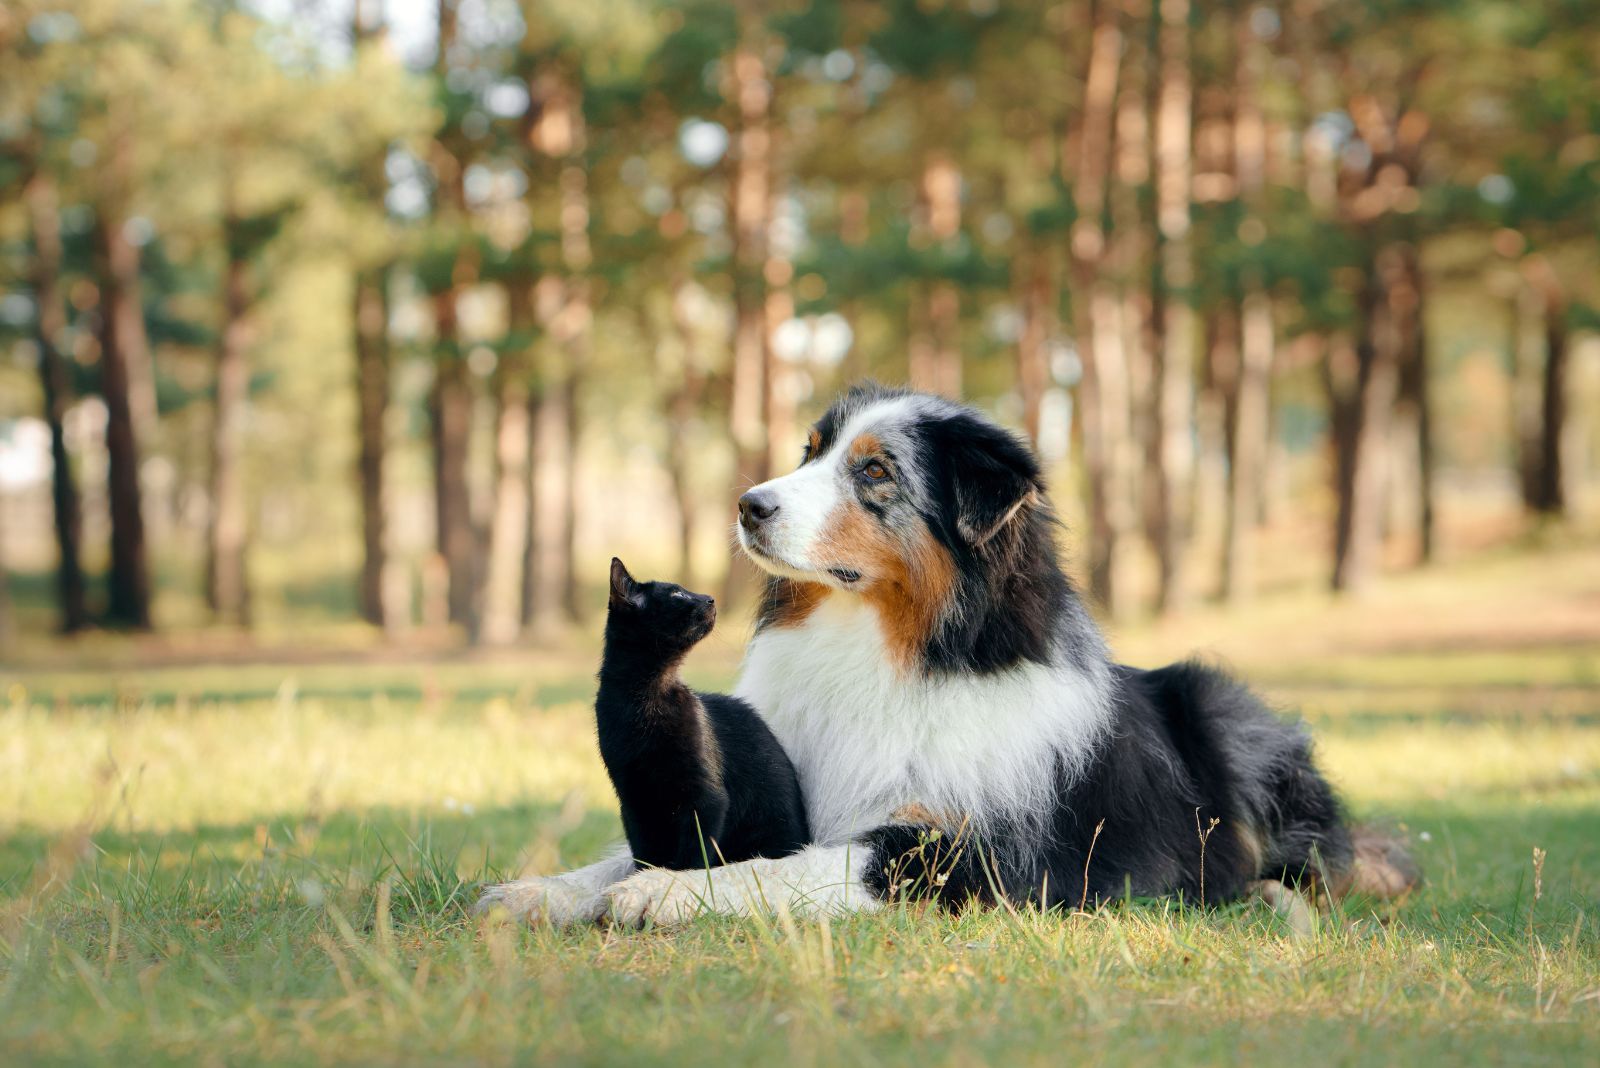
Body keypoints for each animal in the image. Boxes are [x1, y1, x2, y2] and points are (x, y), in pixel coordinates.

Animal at [595, 559, 806, 869]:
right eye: (677, 594)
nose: (709, 598)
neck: (646, 696)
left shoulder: (706, 798)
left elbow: (694, 855)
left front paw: (677, 878)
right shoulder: (634, 800)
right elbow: (645, 853)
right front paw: (646, 874)